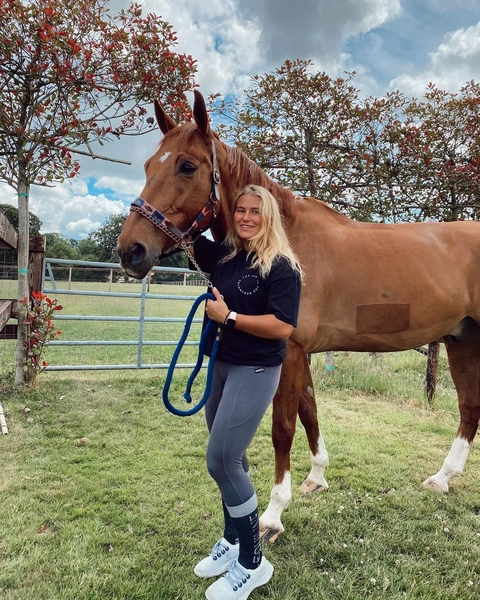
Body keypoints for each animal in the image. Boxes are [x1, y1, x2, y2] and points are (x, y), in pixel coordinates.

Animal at [117, 90, 480, 544]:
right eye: (149, 165)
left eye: (187, 165)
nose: (130, 250)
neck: (285, 241)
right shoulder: (301, 351)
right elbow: (310, 411)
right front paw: (317, 477)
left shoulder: (287, 349)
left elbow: (283, 429)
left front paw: (273, 515)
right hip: (462, 338)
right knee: (469, 408)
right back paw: (442, 478)